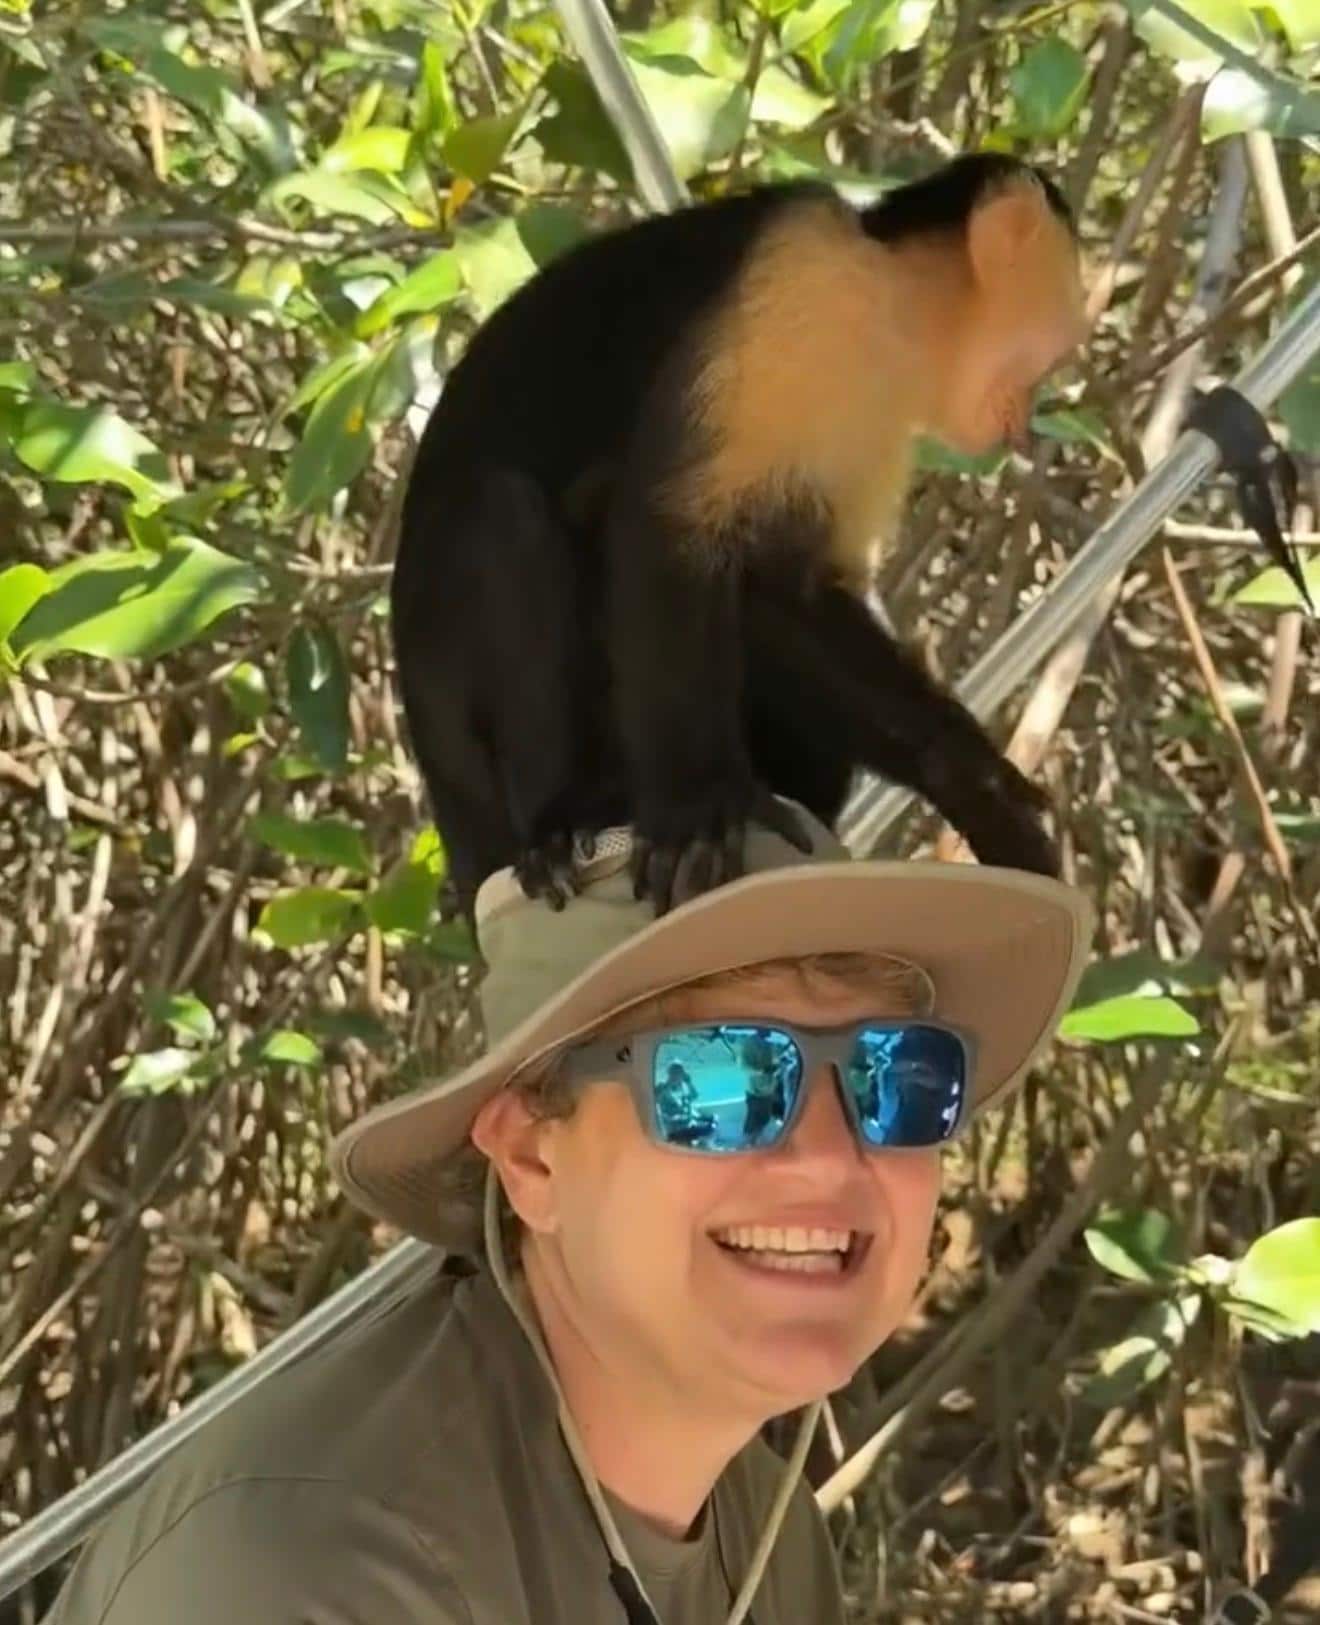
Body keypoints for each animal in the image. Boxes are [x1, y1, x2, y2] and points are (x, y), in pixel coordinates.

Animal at [390, 152, 1090, 922]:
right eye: (1053, 358)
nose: (1029, 419)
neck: (890, 312)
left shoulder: (878, 418)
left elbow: (788, 584)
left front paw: (976, 785)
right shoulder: (795, 276)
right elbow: (671, 522)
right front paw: (696, 808)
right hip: (462, 768)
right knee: (503, 515)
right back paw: (563, 820)